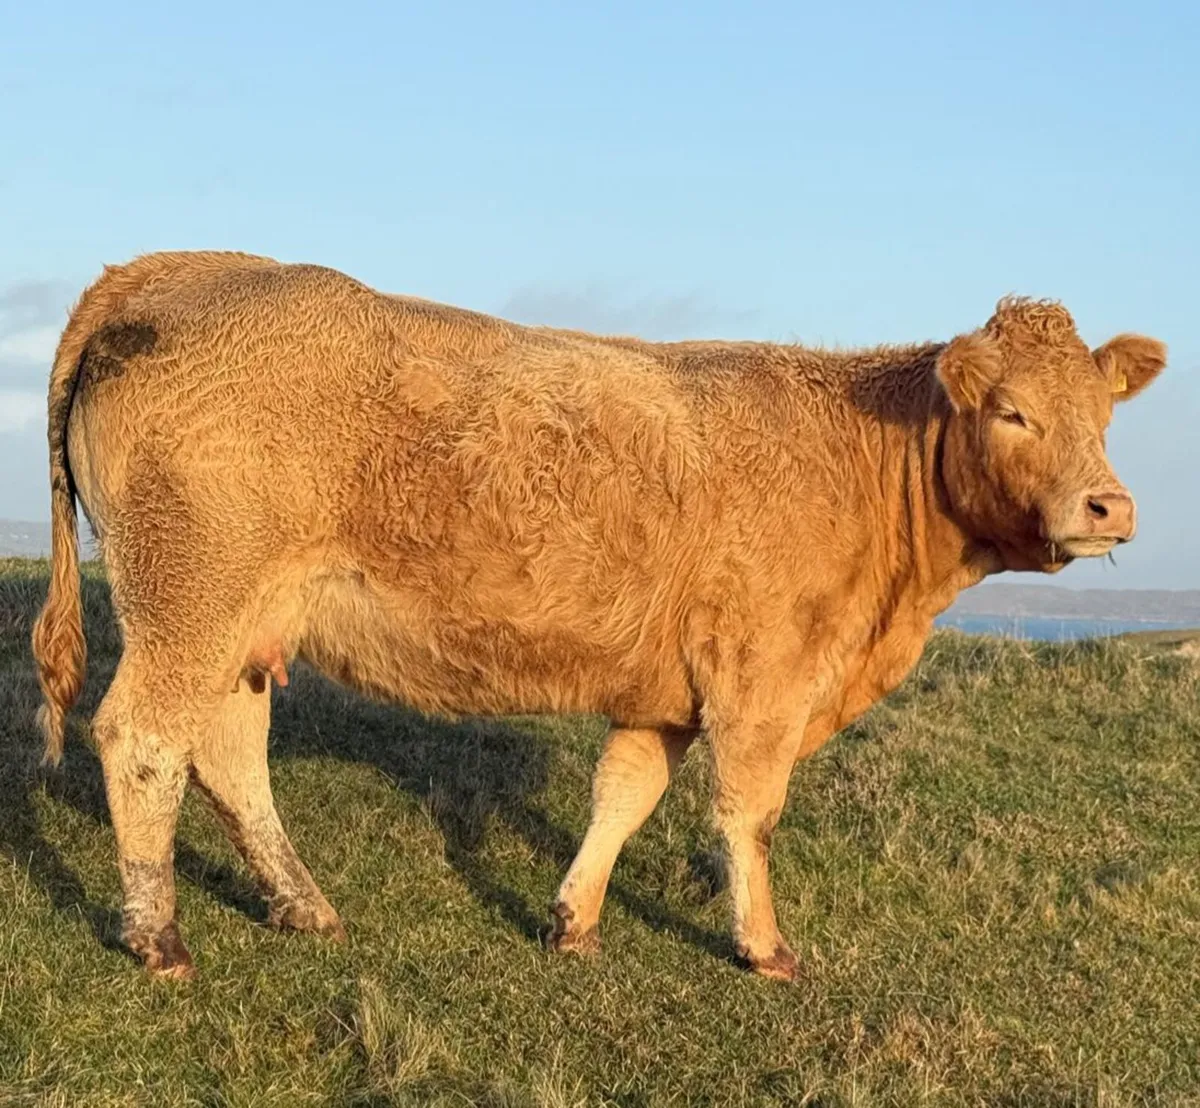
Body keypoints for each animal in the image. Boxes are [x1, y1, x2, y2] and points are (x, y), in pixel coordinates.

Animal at [31, 252, 1166, 980]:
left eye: (1104, 416)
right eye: (1012, 411)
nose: (1109, 507)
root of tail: (170, 271)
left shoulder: (669, 686)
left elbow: (624, 792)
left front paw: (572, 920)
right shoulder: (764, 678)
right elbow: (748, 813)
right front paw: (766, 949)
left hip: (240, 621)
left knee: (226, 750)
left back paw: (304, 907)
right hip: (191, 597)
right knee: (143, 741)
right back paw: (159, 939)